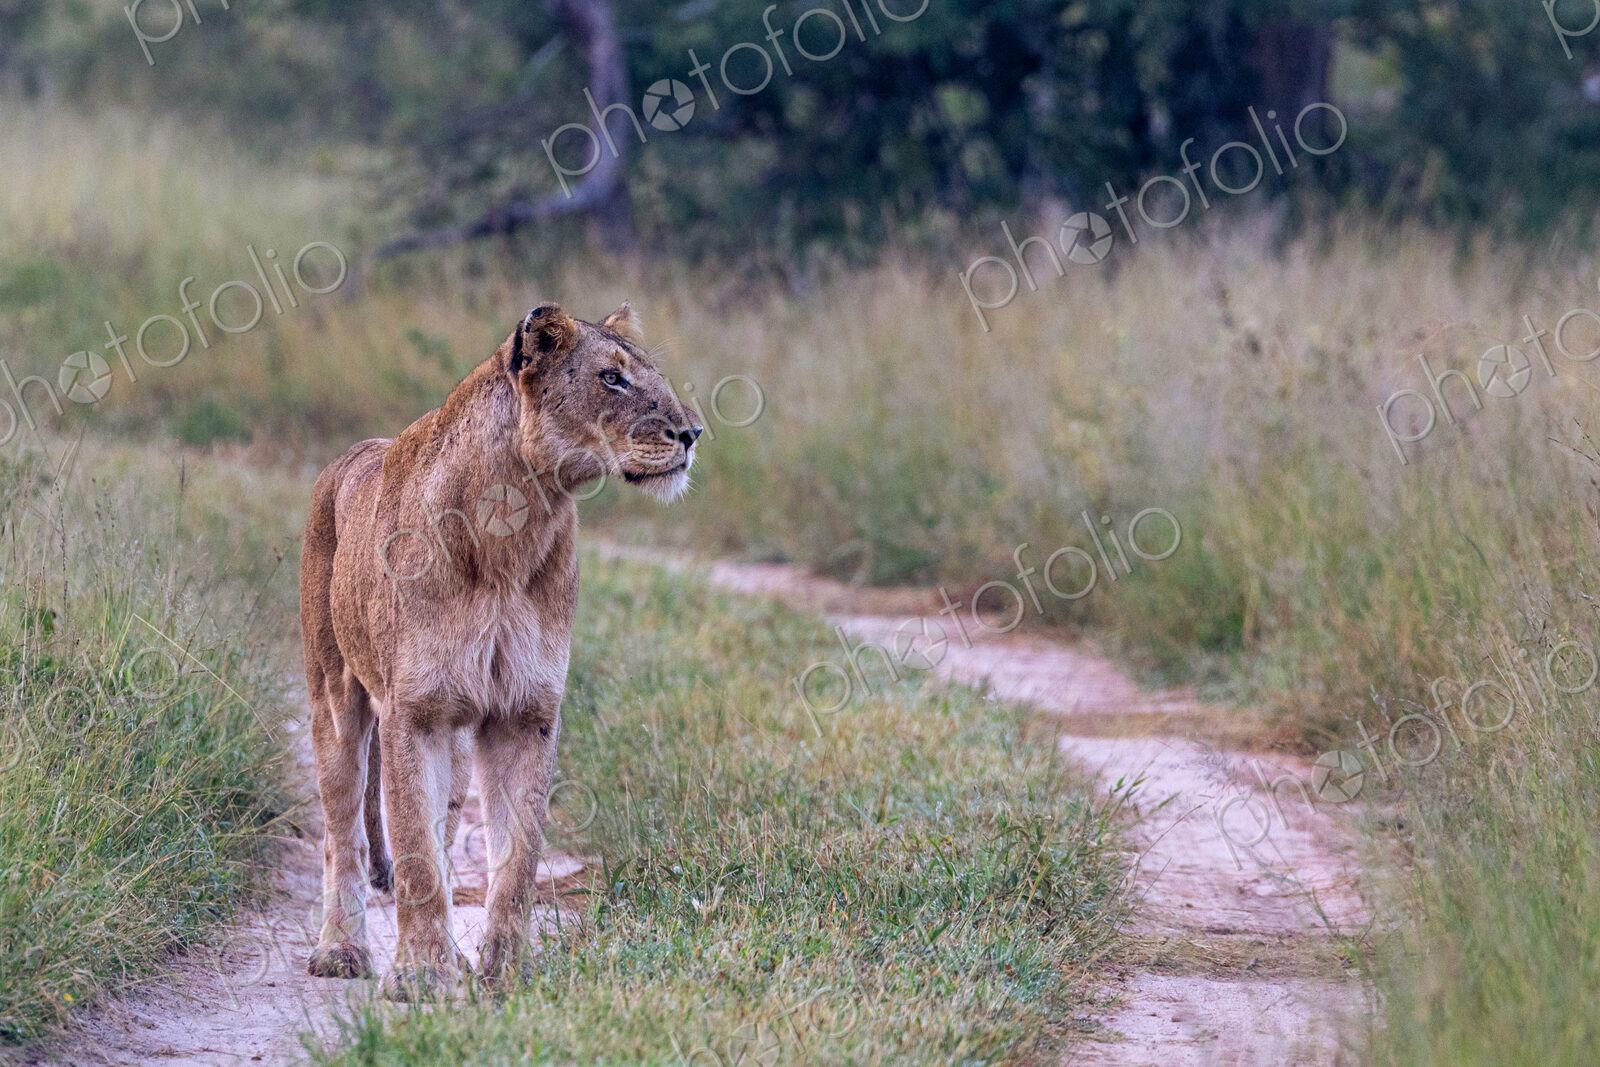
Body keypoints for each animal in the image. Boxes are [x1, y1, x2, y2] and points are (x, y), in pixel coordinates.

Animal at [298, 301, 700, 995]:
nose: (693, 433)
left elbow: (515, 861)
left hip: (458, 741)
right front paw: (420, 975)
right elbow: (414, 852)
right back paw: (341, 951)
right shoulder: (415, 713)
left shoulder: (524, 713)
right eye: (612, 378)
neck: (517, 522)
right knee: (343, 832)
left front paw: (506, 973)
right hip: (336, 698)